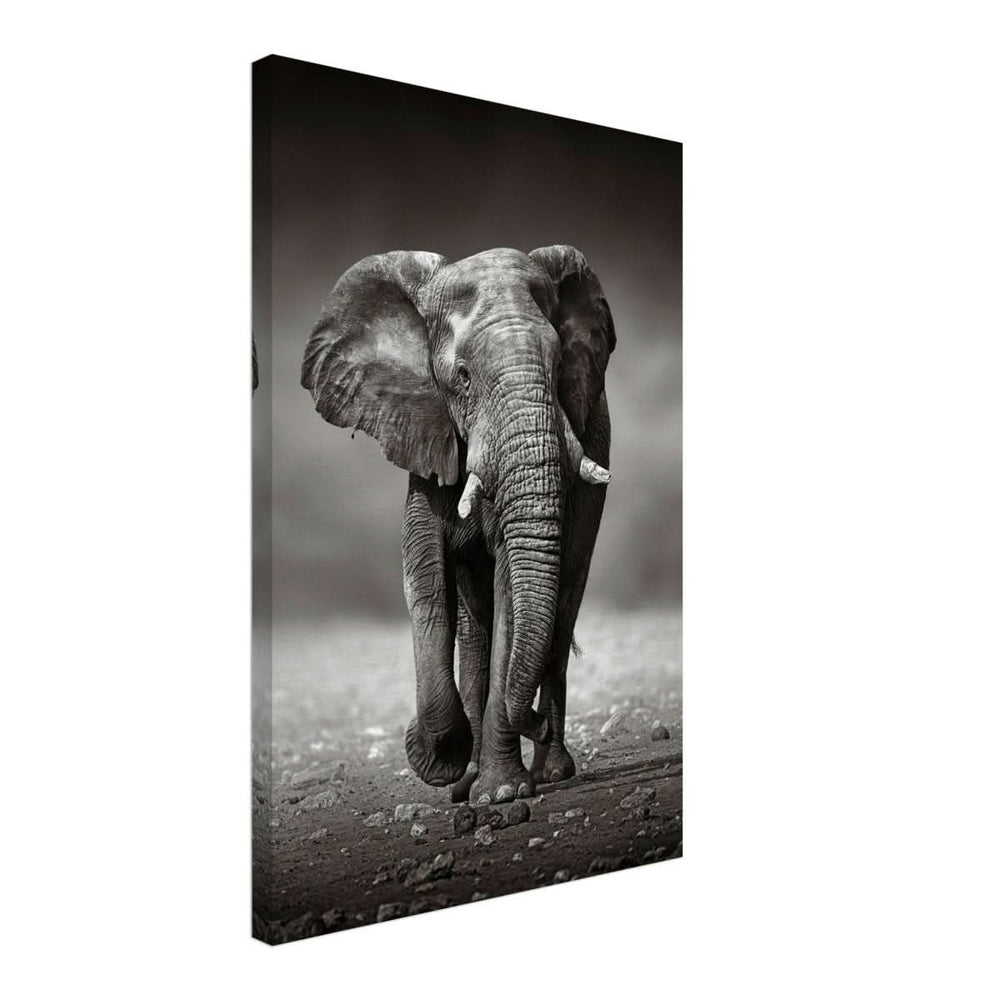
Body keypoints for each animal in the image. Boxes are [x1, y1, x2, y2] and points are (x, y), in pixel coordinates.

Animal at [301, 246, 615, 804]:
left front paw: (500, 794)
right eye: (463, 376)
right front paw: (442, 761)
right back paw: (470, 777)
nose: (535, 724)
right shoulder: (426, 440)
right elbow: (425, 584)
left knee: (561, 609)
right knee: (475, 628)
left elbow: (513, 592)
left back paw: (550, 772)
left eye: (559, 367)